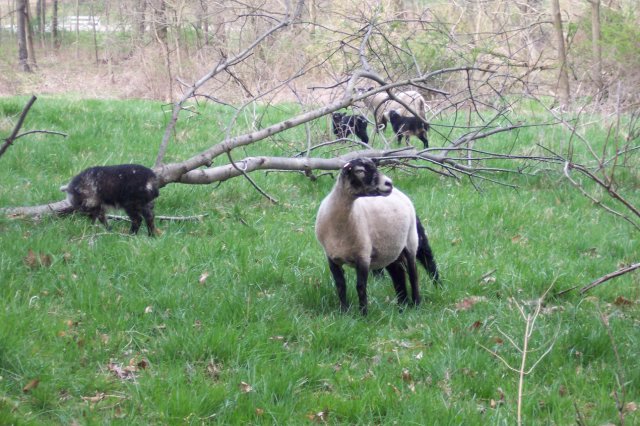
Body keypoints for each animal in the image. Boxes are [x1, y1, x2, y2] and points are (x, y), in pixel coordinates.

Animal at [316, 158, 440, 314]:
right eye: (360, 171)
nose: (388, 183)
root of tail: (399, 192)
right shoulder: (332, 257)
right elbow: (340, 285)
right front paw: (344, 312)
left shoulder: (363, 255)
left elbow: (360, 286)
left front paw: (363, 314)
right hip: (390, 249)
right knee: (398, 273)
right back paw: (402, 305)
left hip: (411, 240)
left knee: (415, 273)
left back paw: (417, 303)